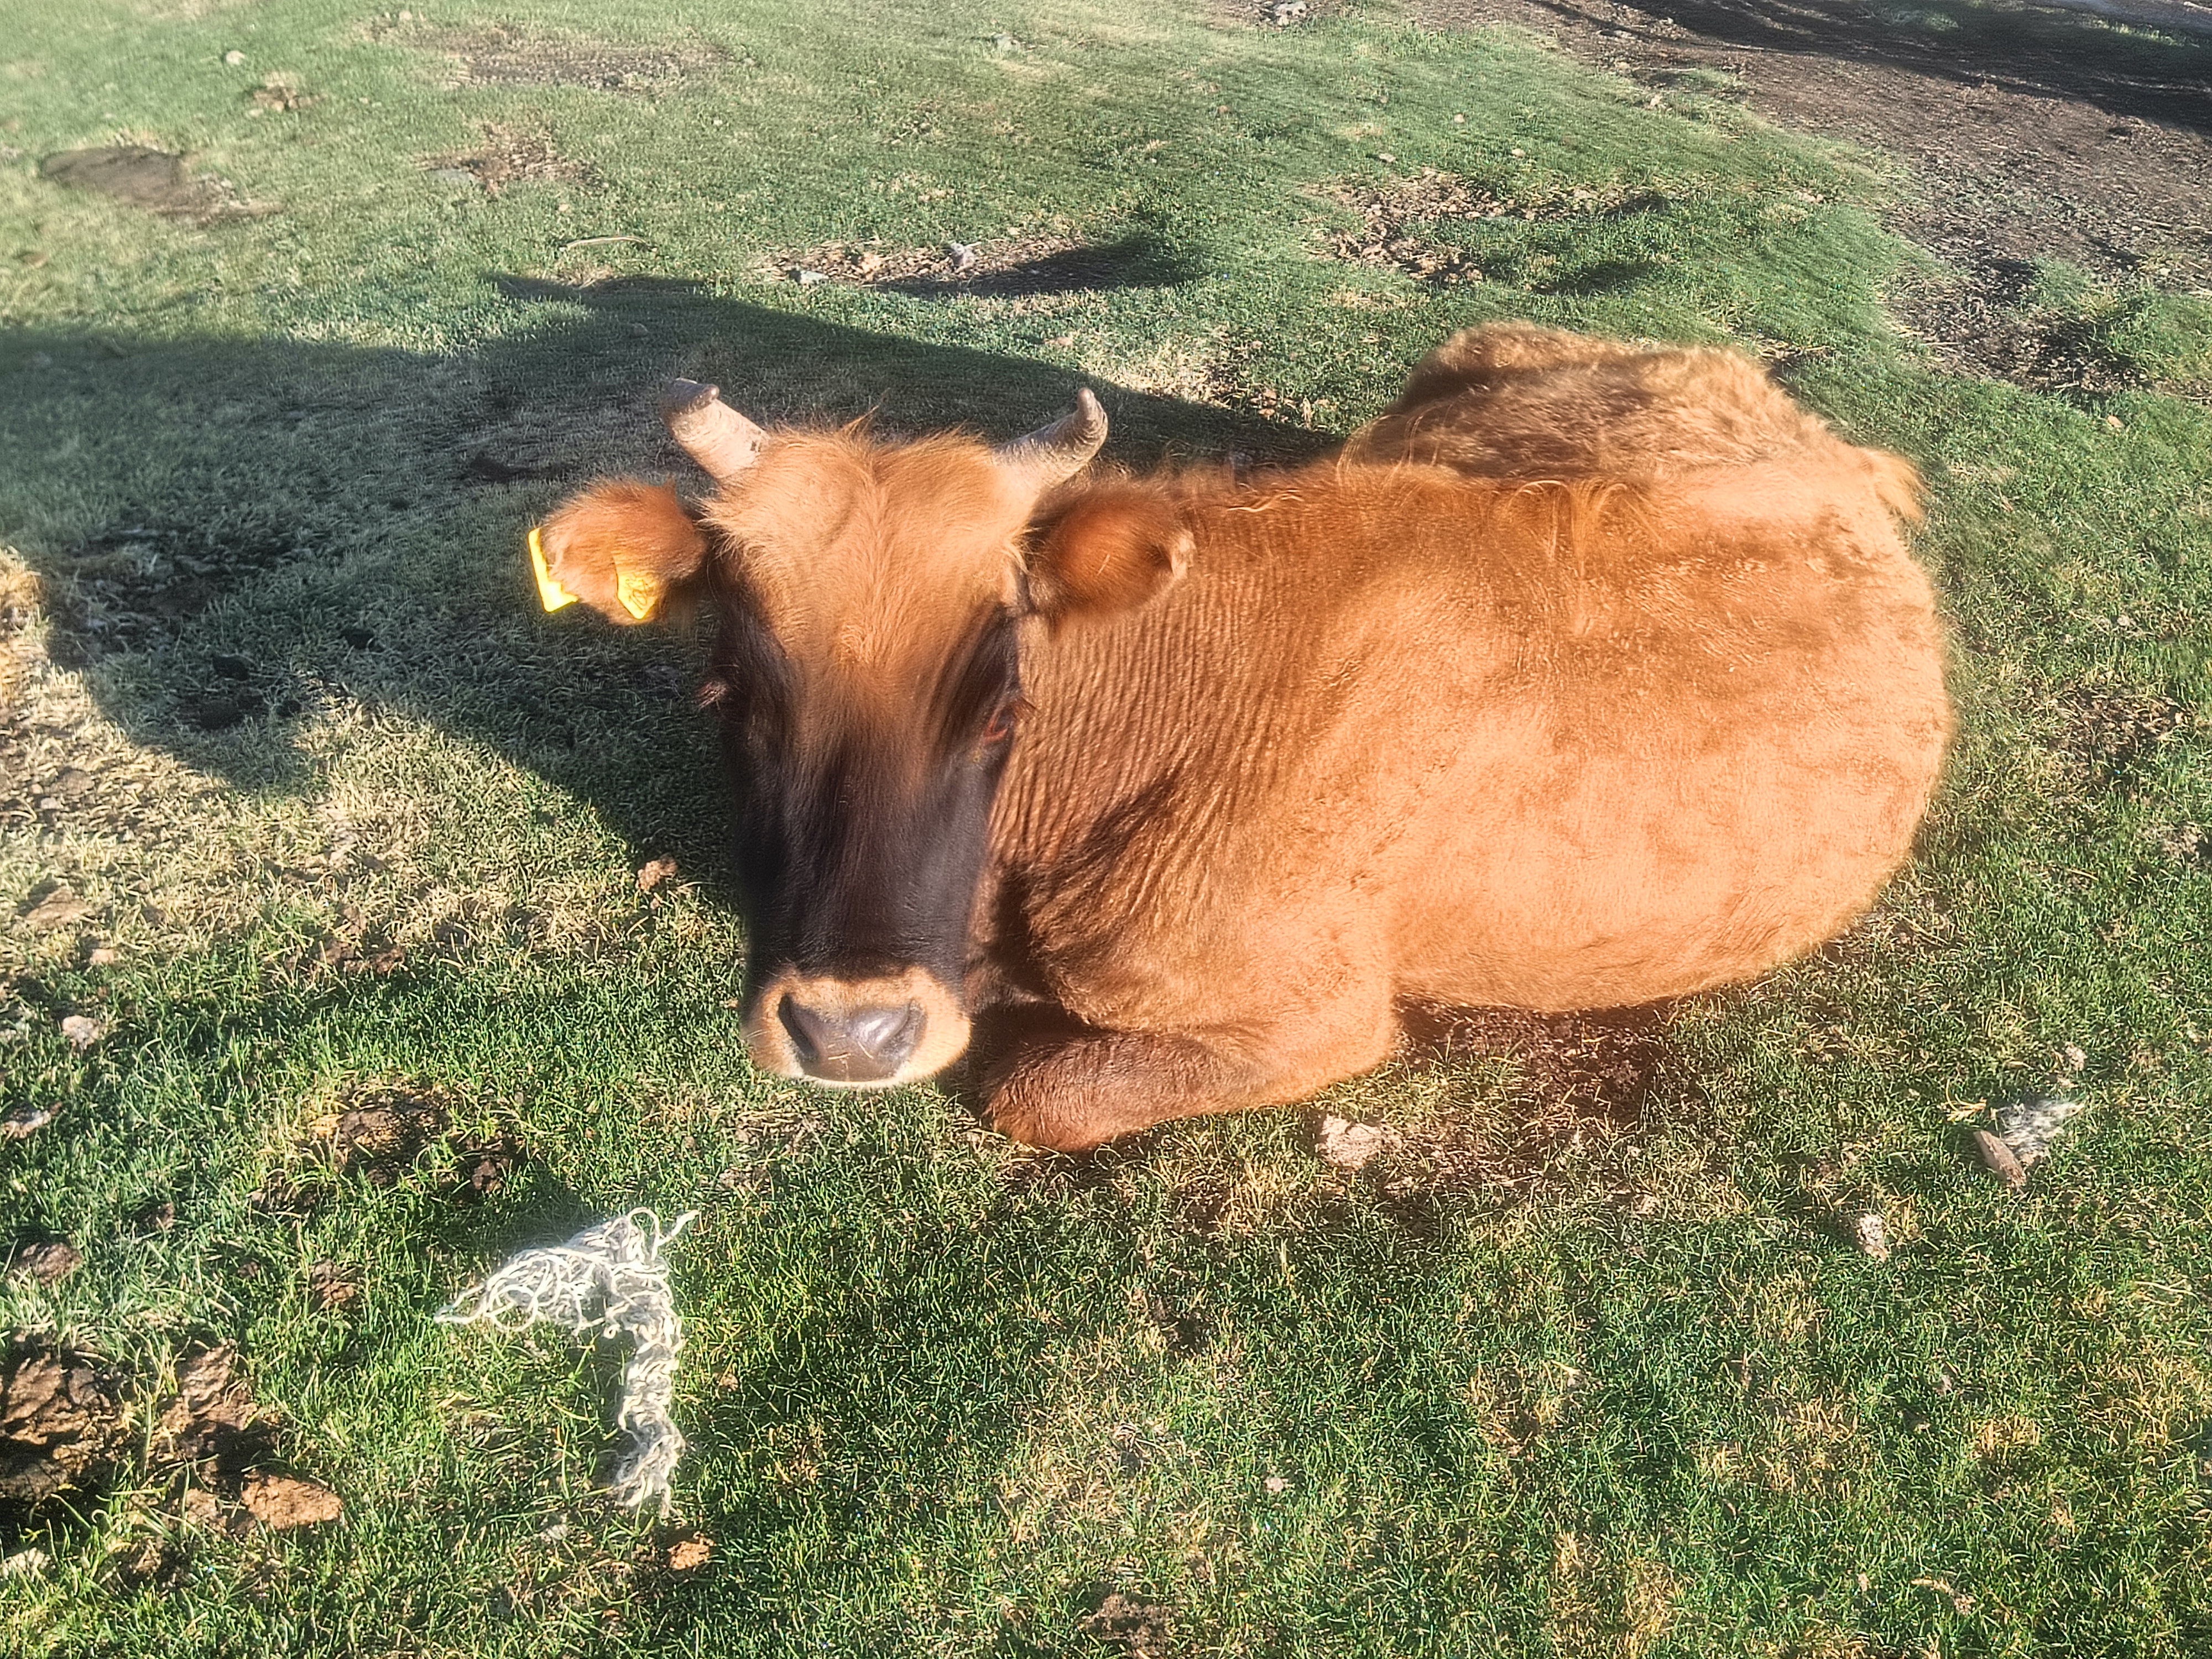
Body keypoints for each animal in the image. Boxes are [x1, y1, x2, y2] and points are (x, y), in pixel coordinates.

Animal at [530, 323, 1952, 1152]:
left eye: (1002, 704)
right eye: (732, 692)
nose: (852, 1034)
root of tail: (1834, 455)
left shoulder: (1321, 1019)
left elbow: (1031, 1089)